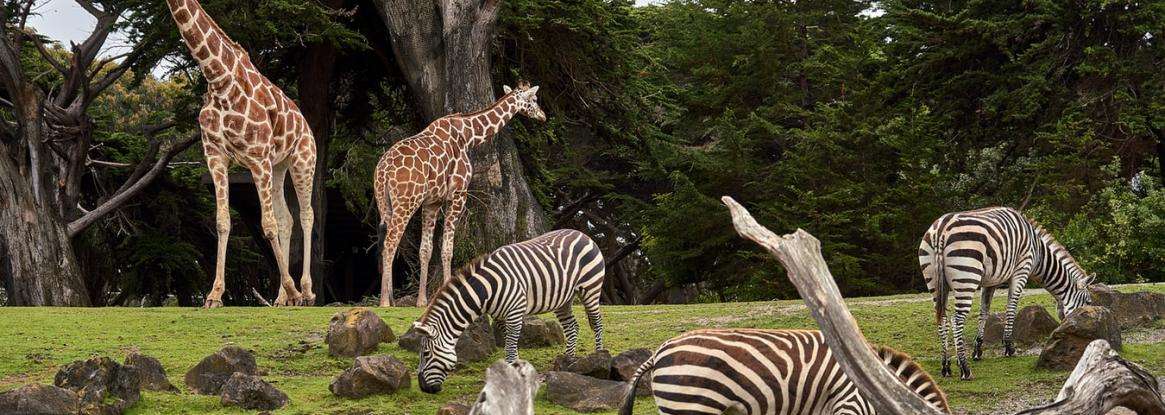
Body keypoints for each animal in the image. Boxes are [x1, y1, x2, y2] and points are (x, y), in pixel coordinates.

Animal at [166, 0, 316, 305]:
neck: (218, 77)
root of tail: (307, 126)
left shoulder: (257, 156)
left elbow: (267, 224)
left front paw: (294, 289)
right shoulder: (215, 155)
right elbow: (223, 222)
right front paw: (214, 294)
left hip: (303, 160)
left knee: (306, 214)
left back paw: (305, 291)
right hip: (279, 166)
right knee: (287, 218)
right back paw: (281, 298)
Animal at [377, 81, 549, 307]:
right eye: (534, 99)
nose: (543, 115)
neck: (469, 136)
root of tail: (383, 170)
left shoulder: (433, 202)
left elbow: (426, 250)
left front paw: (422, 301)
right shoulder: (458, 194)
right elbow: (447, 249)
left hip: (386, 203)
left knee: (386, 242)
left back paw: (390, 298)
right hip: (406, 202)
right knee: (390, 242)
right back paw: (384, 302)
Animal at [412, 228, 610, 394]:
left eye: (426, 354)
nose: (423, 388)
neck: (486, 290)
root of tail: (582, 233)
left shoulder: (514, 312)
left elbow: (510, 347)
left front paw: (512, 376)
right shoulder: (499, 317)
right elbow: (510, 344)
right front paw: (515, 369)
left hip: (591, 287)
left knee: (597, 321)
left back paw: (599, 357)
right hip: (564, 299)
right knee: (572, 327)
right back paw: (567, 361)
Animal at [918, 206, 1090, 380]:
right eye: (1088, 303)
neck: (1038, 252)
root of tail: (941, 229)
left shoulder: (991, 281)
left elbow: (984, 312)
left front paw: (978, 350)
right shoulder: (1021, 270)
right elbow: (1011, 309)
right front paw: (1009, 347)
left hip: (934, 280)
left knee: (942, 319)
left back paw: (946, 366)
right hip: (967, 275)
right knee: (957, 319)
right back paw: (965, 368)